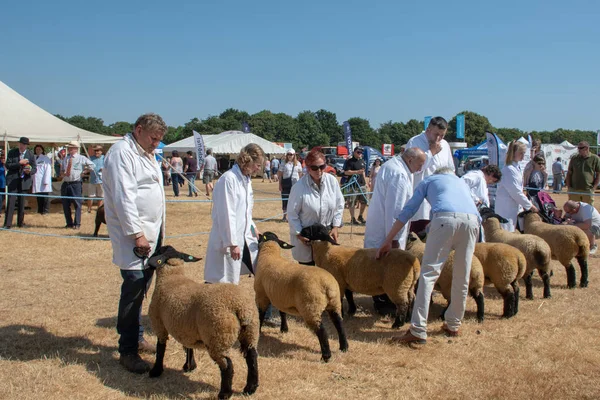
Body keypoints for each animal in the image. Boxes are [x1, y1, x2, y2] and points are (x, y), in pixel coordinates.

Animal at [147, 245, 258, 398]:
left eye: (158, 252)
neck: (172, 277)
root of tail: (239, 306)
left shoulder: (159, 323)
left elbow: (160, 348)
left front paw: (156, 370)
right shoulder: (185, 327)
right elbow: (188, 346)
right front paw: (190, 366)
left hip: (217, 337)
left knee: (227, 365)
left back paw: (224, 393)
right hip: (250, 332)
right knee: (252, 358)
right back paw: (250, 388)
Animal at [253, 231, 346, 362]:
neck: (269, 255)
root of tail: (327, 285)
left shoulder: (261, 295)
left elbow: (260, 314)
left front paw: (259, 331)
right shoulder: (280, 297)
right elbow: (282, 312)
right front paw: (284, 329)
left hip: (310, 307)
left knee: (321, 330)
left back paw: (326, 356)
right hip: (335, 304)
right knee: (339, 324)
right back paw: (344, 347)